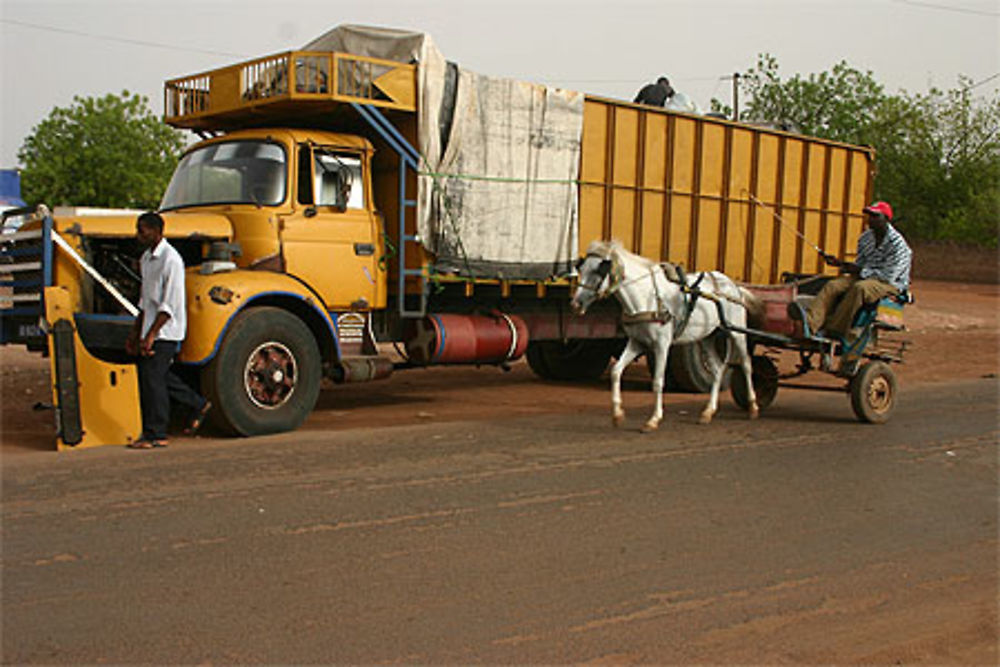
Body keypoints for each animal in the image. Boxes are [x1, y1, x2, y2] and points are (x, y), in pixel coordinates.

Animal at [572, 240, 764, 434]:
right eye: (582, 269)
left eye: (598, 271)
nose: (576, 304)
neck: (647, 298)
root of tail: (734, 287)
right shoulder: (637, 342)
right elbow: (616, 371)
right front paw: (618, 414)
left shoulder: (661, 345)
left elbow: (658, 382)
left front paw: (654, 420)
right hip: (707, 337)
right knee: (717, 369)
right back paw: (708, 412)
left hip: (737, 332)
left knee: (746, 364)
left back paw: (753, 407)